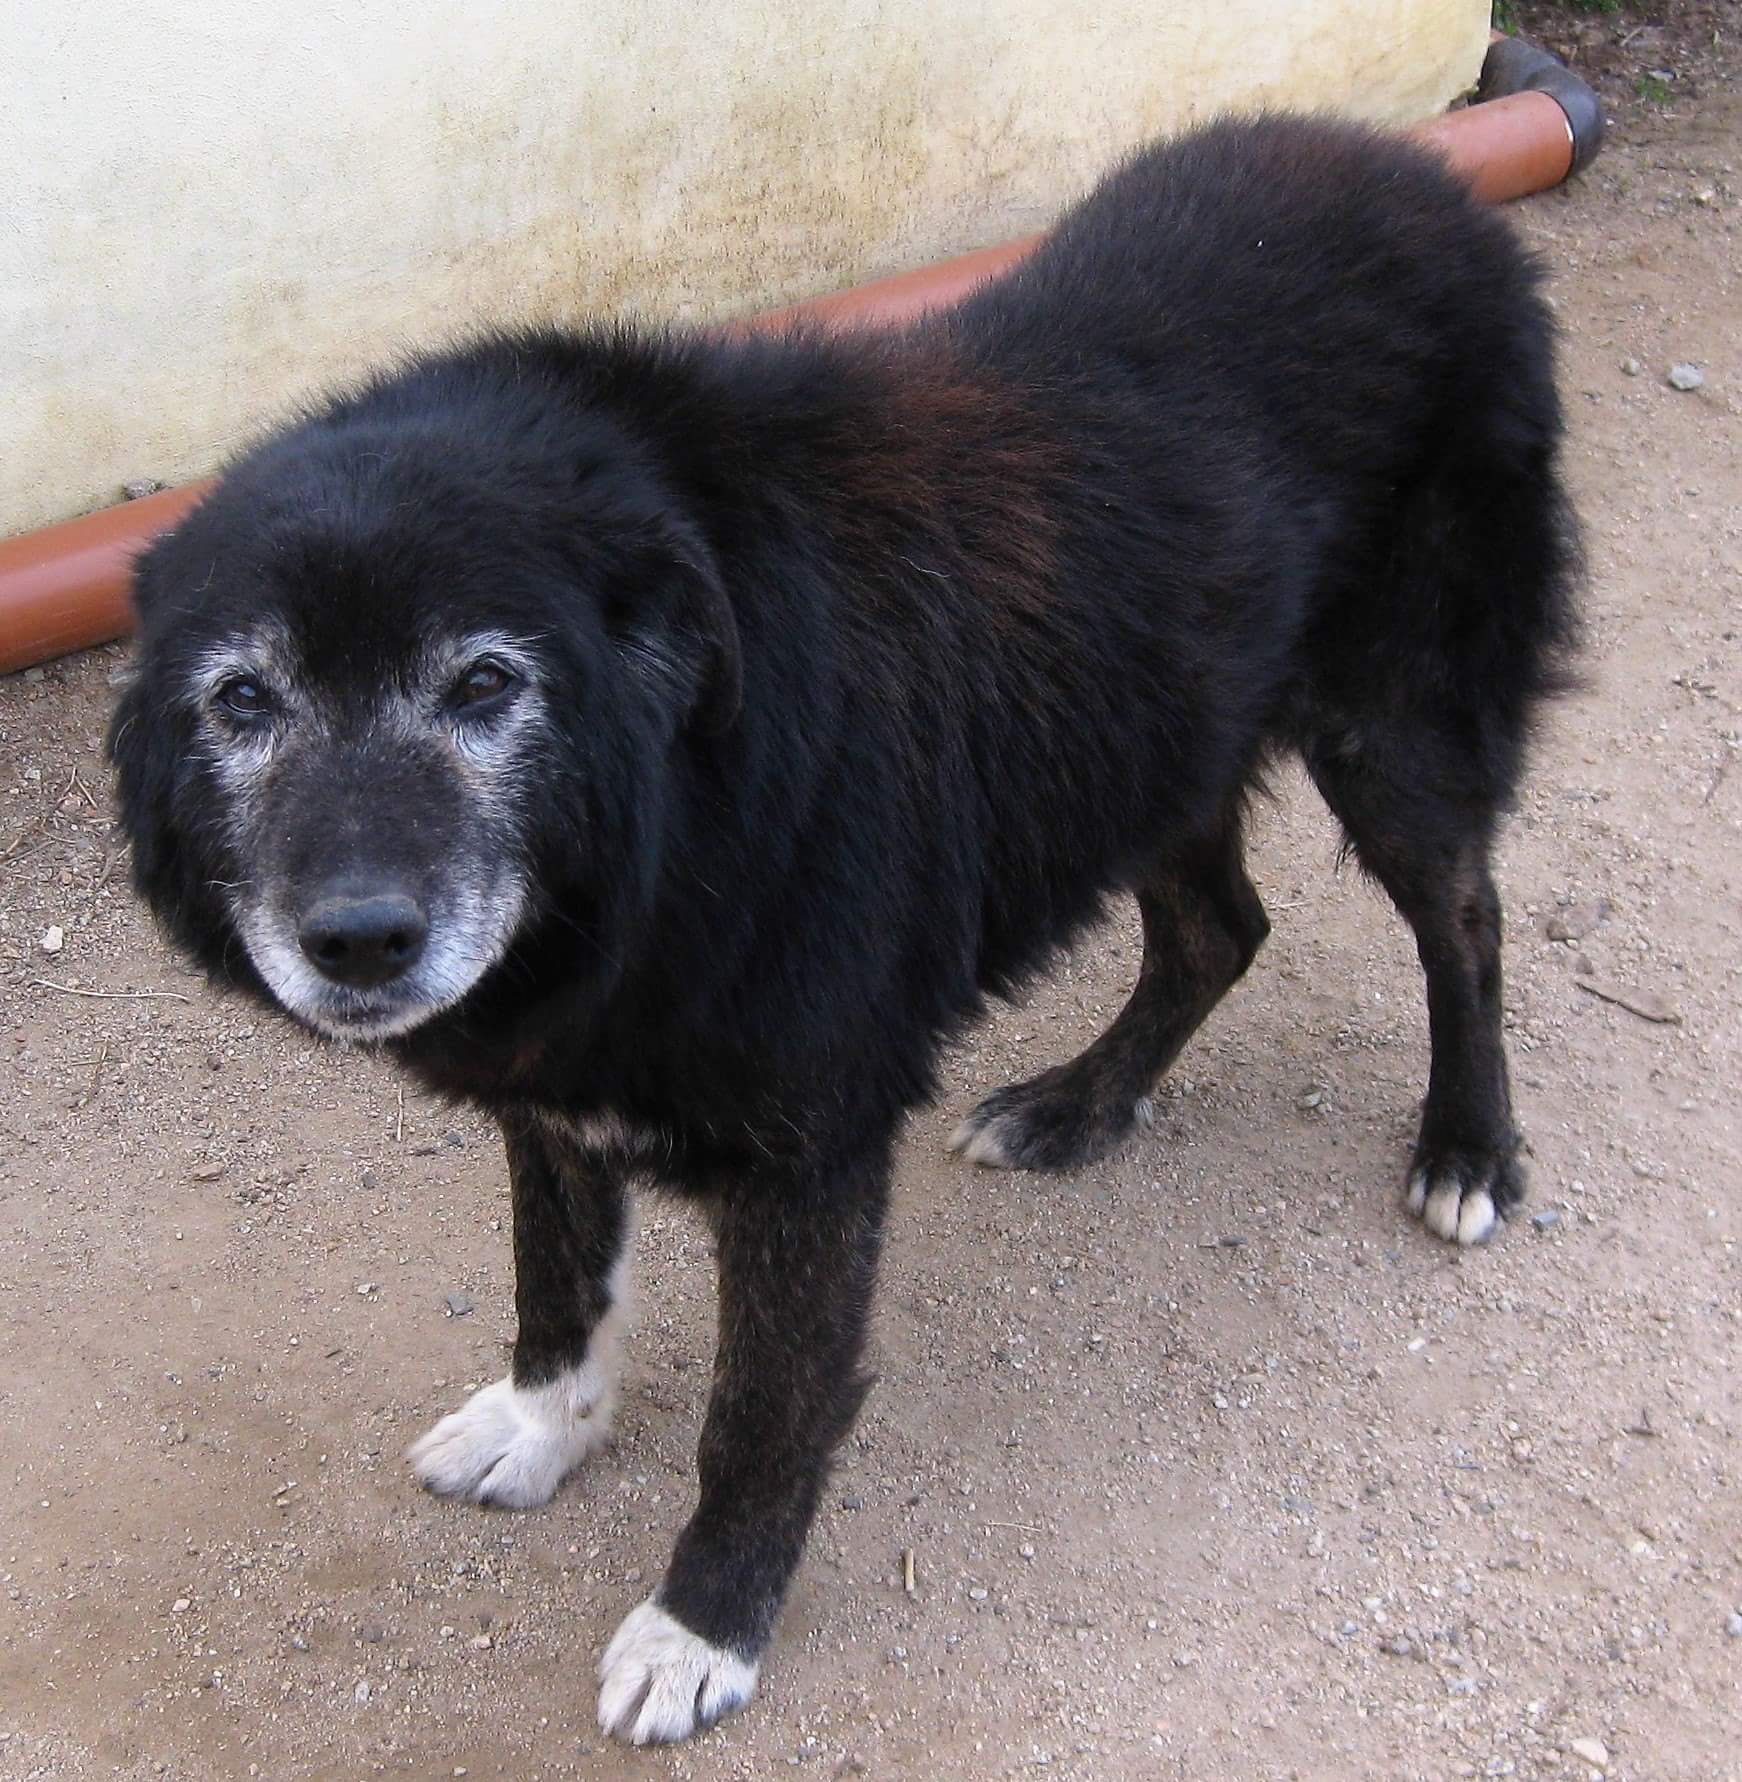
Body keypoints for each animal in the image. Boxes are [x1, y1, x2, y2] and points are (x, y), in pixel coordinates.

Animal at [108, 122, 1574, 1739]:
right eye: (243, 698)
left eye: (485, 682)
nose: (359, 940)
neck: (674, 822)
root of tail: (1422, 180)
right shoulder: (560, 1093)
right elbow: (556, 1286)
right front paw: (542, 1427)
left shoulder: (807, 1154)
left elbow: (759, 1415)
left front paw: (703, 1627)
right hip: (1158, 733)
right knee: (1218, 930)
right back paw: (1079, 1105)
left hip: (1391, 734)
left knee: (1465, 922)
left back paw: (1464, 1147)